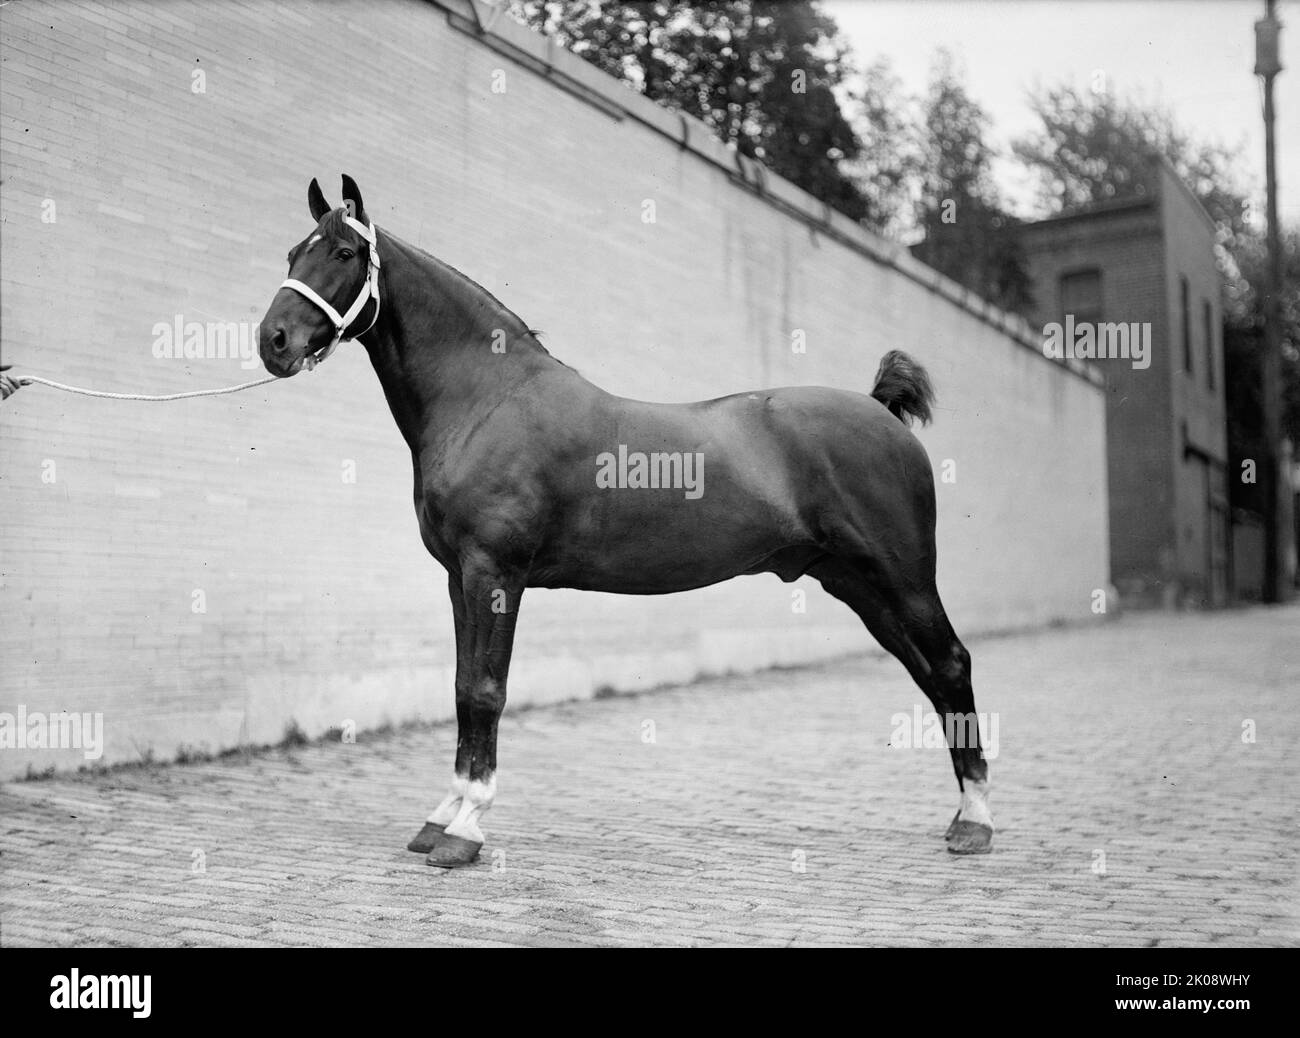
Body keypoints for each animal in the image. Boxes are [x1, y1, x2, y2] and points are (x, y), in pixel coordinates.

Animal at [256, 174, 993, 863]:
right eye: (295, 251)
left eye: (345, 252)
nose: (273, 340)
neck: (487, 400)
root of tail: (881, 410)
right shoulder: (458, 578)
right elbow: (462, 687)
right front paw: (441, 815)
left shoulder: (495, 574)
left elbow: (486, 690)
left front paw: (465, 830)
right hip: (855, 584)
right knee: (928, 673)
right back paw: (963, 814)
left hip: (902, 578)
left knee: (951, 664)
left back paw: (977, 822)